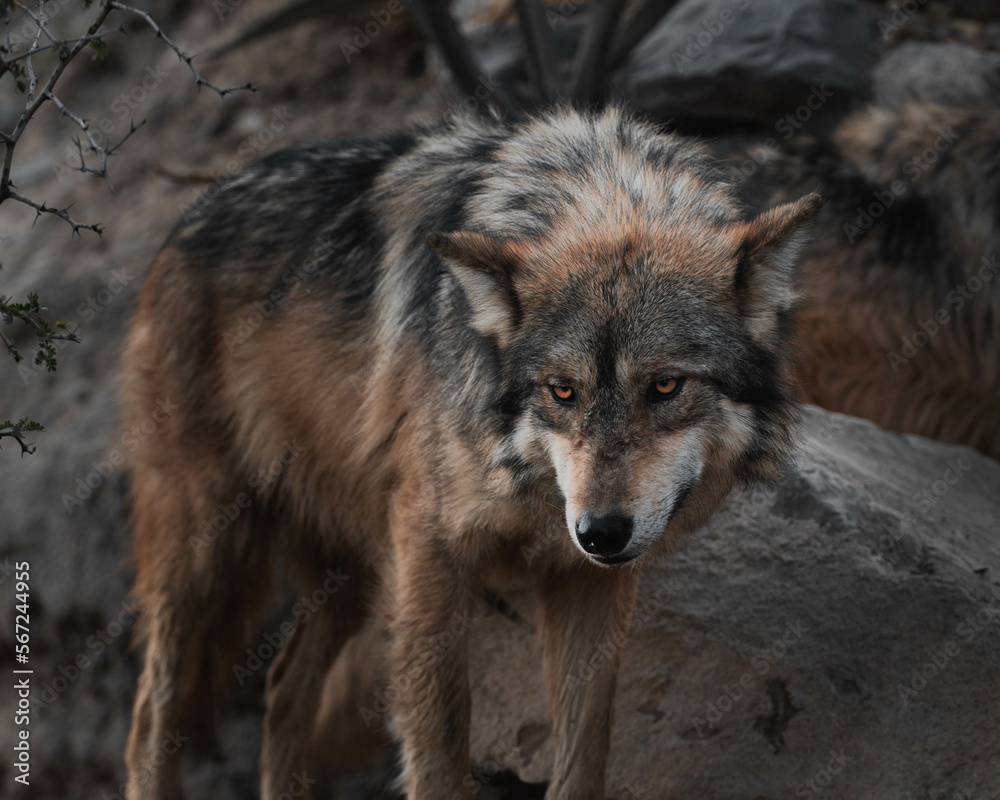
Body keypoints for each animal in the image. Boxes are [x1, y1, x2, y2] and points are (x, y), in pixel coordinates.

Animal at [120, 105, 820, 799]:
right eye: (562, 391)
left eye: (666, 386)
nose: (599, 532)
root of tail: (192, 211)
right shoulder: (431, 553)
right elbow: (439, 750)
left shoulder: (586, 582)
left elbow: (583, 753)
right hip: (207, 550)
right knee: (151, 716)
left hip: (351, 569)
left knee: (283, 688)